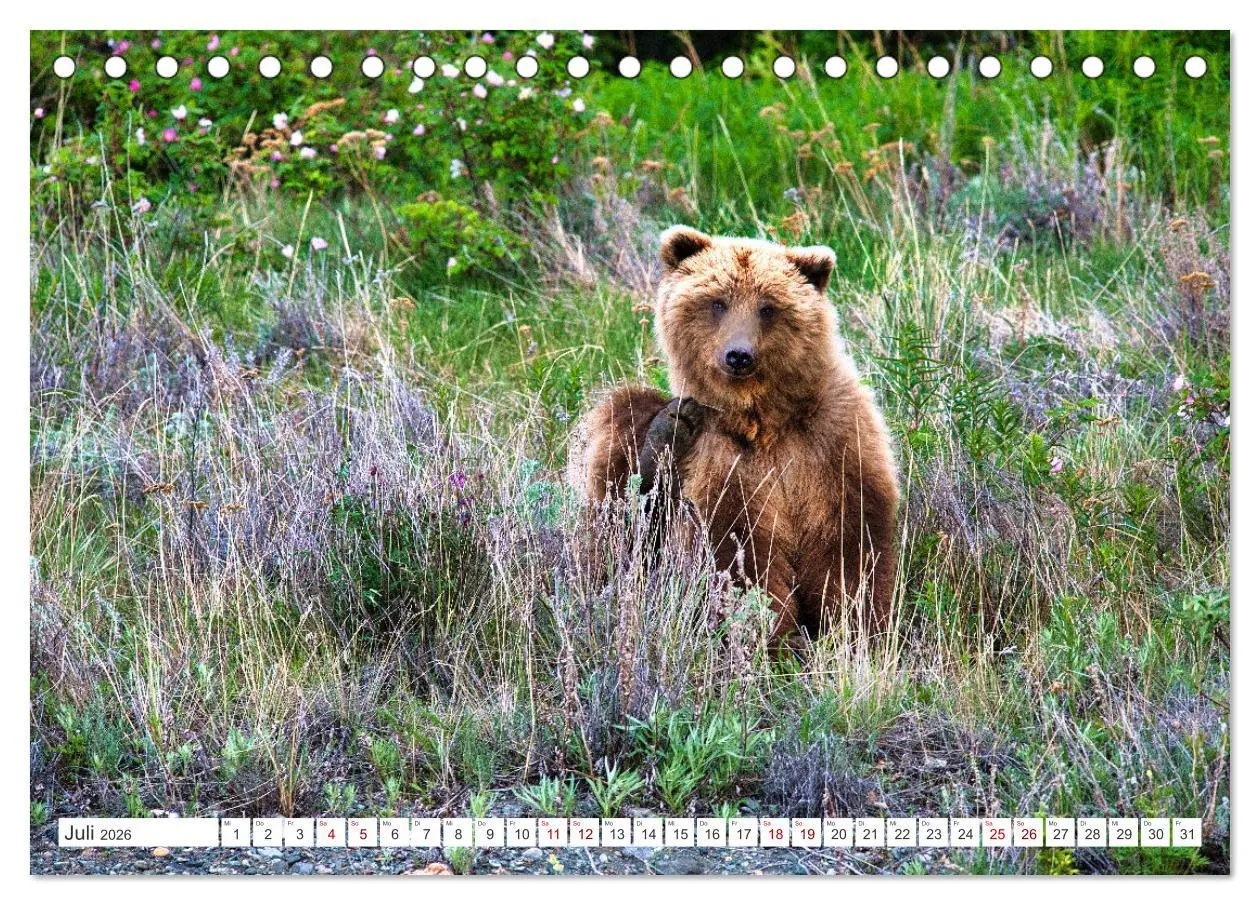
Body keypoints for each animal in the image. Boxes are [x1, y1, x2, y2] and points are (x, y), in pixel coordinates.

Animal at [568, 225, 900, 643]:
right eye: (718, 302)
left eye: (768, 307)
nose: (738, 355)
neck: (761, 419)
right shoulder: (721, 461)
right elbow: (740, 554)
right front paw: (769, 633)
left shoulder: (833, 438)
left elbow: (850, 544)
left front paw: (855, 628)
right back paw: (663, 440)